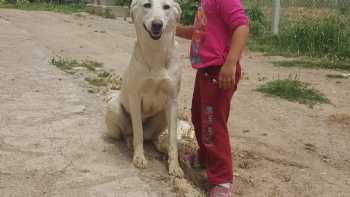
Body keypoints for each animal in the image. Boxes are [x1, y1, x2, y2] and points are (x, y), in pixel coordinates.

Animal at [105, 0, 183, 177]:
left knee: (151, 137)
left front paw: (174, 165)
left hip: (163, 114)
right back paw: (128, 141)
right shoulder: (135, 97)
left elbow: (173, 140)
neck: (156, 53)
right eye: (147, 4)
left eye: (166, 7)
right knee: (129, 133)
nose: (157, 24)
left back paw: (159, 145)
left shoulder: (172, 100)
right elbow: (138, 133)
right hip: (113, 108)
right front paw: (139, 157)